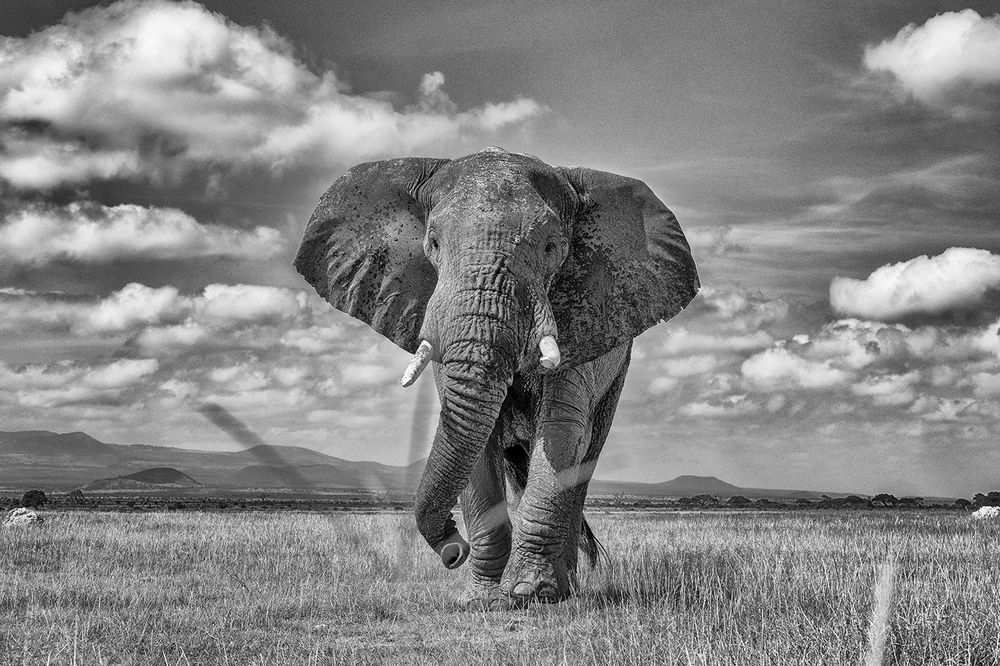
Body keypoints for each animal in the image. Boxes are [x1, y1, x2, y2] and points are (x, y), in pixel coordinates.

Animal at [295, 147, 698, 606]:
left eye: (551, 246)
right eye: (433, 242)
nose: (453, 549)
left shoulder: (587, 317)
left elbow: (561, 432)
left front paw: (528, 592)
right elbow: (476, 442)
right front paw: (484, 600)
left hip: (617, 372)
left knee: (581, 461)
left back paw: (561, 589)